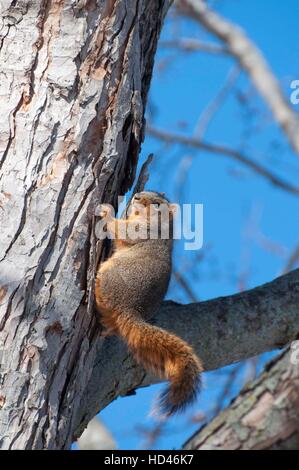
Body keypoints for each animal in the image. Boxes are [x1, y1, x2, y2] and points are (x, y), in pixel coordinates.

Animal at [95, 191, 204, 414]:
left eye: (156, 203)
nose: (136, 196)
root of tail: (130, 309)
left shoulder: (145, 231)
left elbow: (124, 231)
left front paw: (107, 212)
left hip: (112, 277)